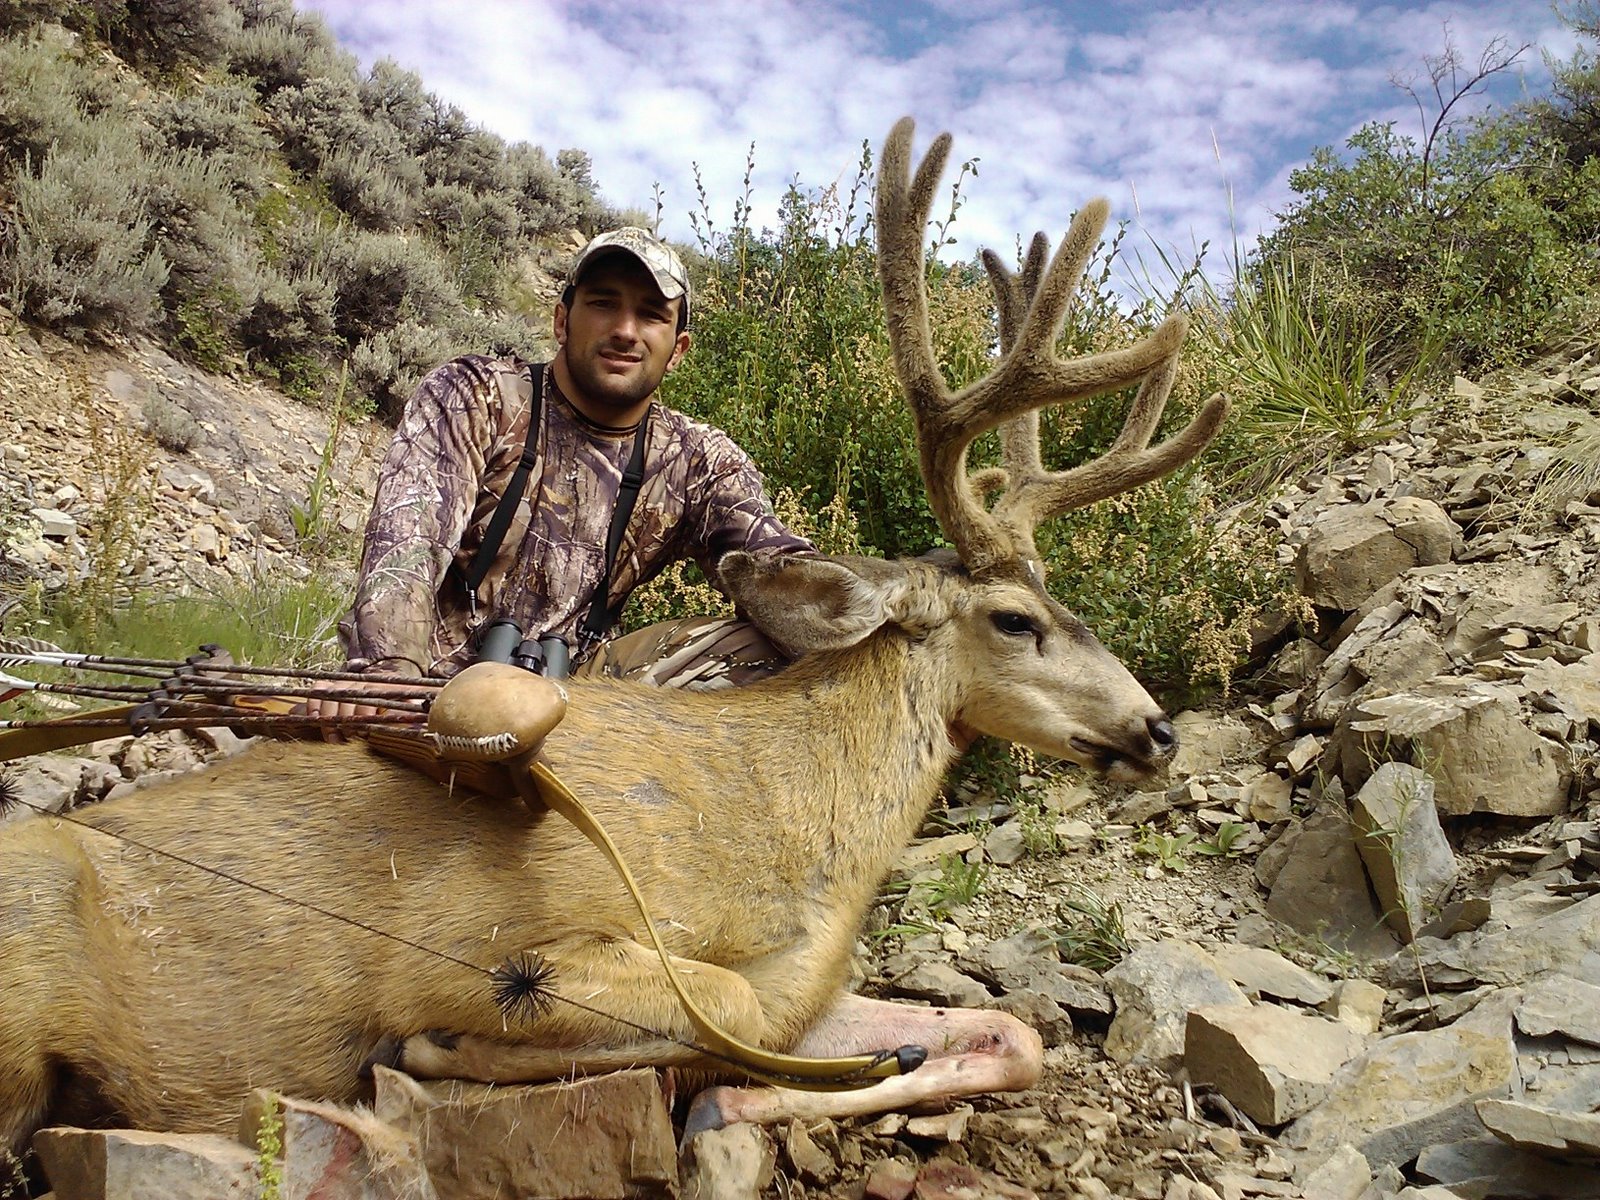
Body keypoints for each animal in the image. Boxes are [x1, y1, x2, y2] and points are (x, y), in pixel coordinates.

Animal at [0, 117, 1226, 1163]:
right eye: (1017, 620)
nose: (1158, 728)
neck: (792, 823)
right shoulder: (489, 935)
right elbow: (715, 1001)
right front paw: (439, 1058)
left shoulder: (809, 988)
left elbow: (1005, 1034)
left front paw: (735, 1099)